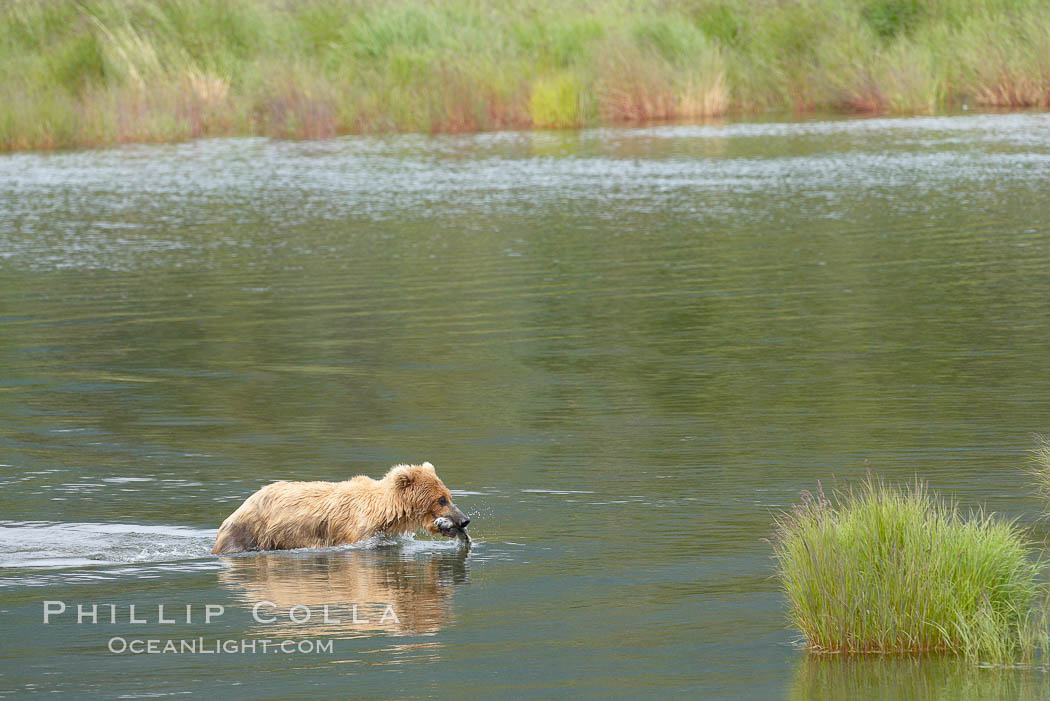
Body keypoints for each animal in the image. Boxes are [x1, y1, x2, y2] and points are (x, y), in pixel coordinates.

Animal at [211, 461, 470, 554]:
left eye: (448, 496)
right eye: (441, 499)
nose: (464, 519)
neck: (385, 512)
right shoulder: (354, 533)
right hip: (251, 532)